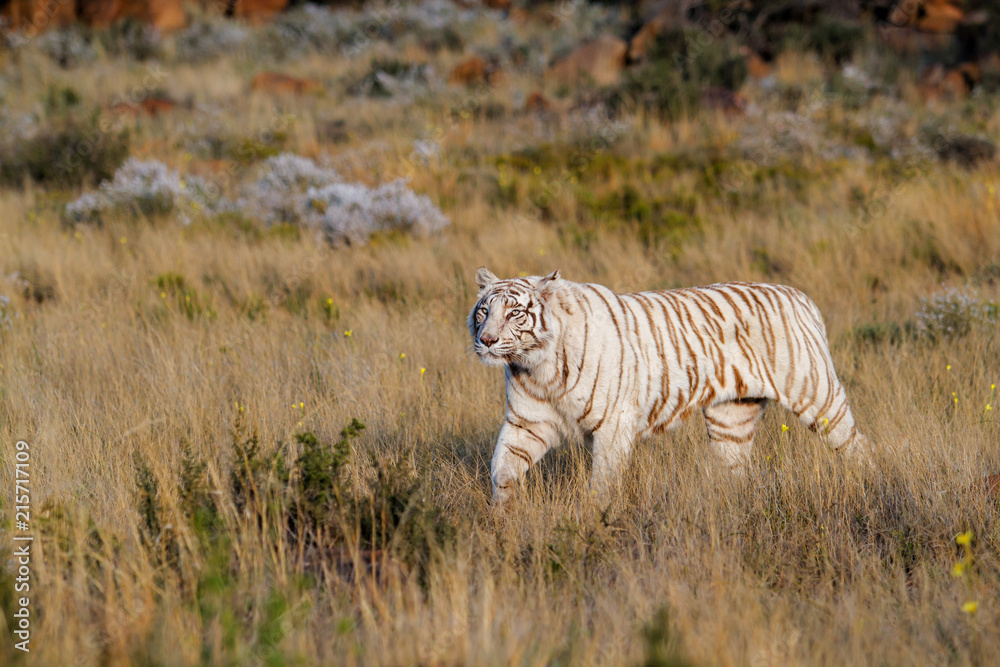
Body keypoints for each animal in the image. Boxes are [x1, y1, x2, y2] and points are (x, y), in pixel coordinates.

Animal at [468, 267, 871, 504]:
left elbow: (604, 483)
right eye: (484, 311)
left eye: (515, 313)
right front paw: (504, 519)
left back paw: (866, 482)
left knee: (856, 444)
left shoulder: (613, 424)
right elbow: (503, 469)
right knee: (736, 469)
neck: (538, 367)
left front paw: (594, 518)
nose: (486, 340)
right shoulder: (527, 423)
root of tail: (798, 295)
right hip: (731, 419)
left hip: (817, 395)